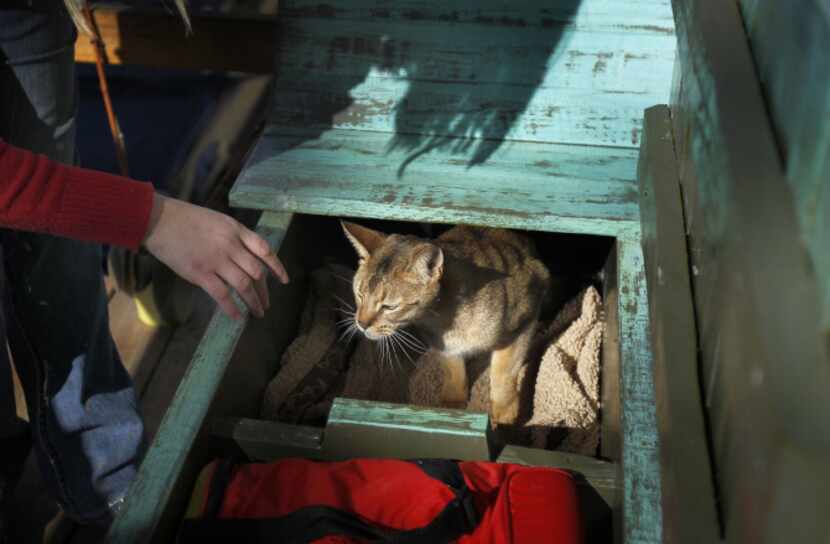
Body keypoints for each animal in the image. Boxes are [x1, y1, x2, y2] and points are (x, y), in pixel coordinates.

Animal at [342, 221, 548, 424]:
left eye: (389, 307)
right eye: (360, 295)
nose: (361, 323)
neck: (442, 318)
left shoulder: (525, 315)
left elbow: (503, 372)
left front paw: (505, 412)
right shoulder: (443, 344)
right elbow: (452, 366)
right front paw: (453, 402)